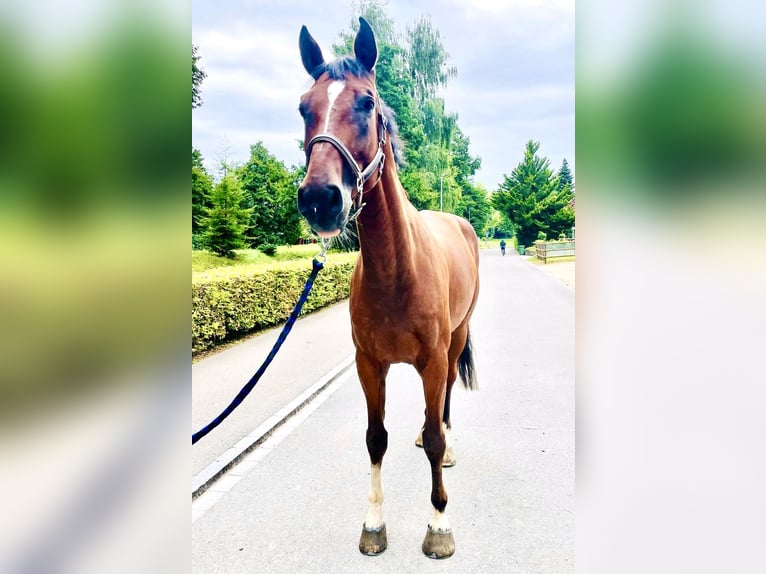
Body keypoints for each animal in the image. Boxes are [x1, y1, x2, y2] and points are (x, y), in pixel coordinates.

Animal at [296, 16, 480, 560]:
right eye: (303, 107)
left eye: (366, 103)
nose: (320, 198)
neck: (398, 271)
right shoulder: (369, 364)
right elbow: (375, 438)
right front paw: (374, 523)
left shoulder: (434, 360)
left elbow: (435, 440)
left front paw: (438, 526)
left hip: (456, 339)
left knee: (445, 402)